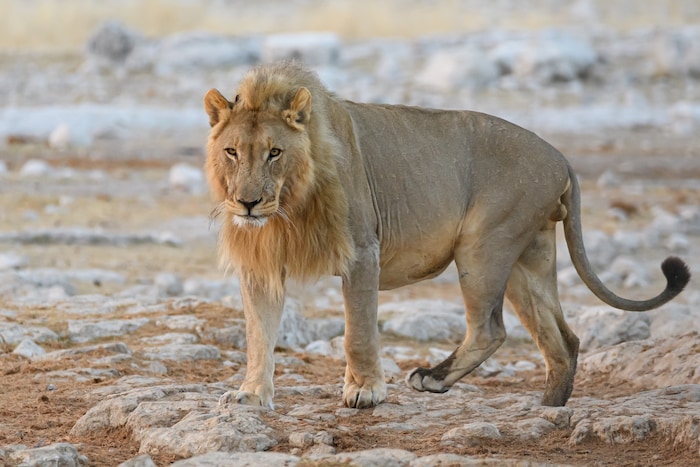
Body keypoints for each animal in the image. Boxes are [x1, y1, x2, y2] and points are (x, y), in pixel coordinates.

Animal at [203, 62, 690, 410]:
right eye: (232, 152)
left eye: (275, 152)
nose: (247, 203)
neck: (286, 210)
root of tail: (560, 157)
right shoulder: (259, 264)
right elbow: (258, 334)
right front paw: (251, 394)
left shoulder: (362, 251)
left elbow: (357, 331)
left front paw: (365, 391)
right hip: (526, 256)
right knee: (561, 338)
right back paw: (549, 408)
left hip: (483, 246)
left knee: (491, 329)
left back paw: (432, 379)